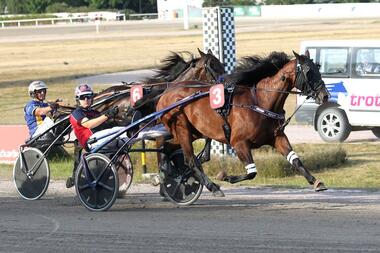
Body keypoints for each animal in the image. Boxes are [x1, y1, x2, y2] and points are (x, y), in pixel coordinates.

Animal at [156, 50, 332, 197]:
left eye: (318, 68)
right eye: (308, 71)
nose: (325, 96)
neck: (261, 102)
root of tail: (167, 91)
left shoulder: (277, 137)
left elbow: (295, 160)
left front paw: (316, 181)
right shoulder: (238, 142)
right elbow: (251, 172)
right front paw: (224, 176)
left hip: (194, 131)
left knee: (167, 147)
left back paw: (165, 176)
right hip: (182, 127)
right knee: (190, 160)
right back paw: (212, 187)